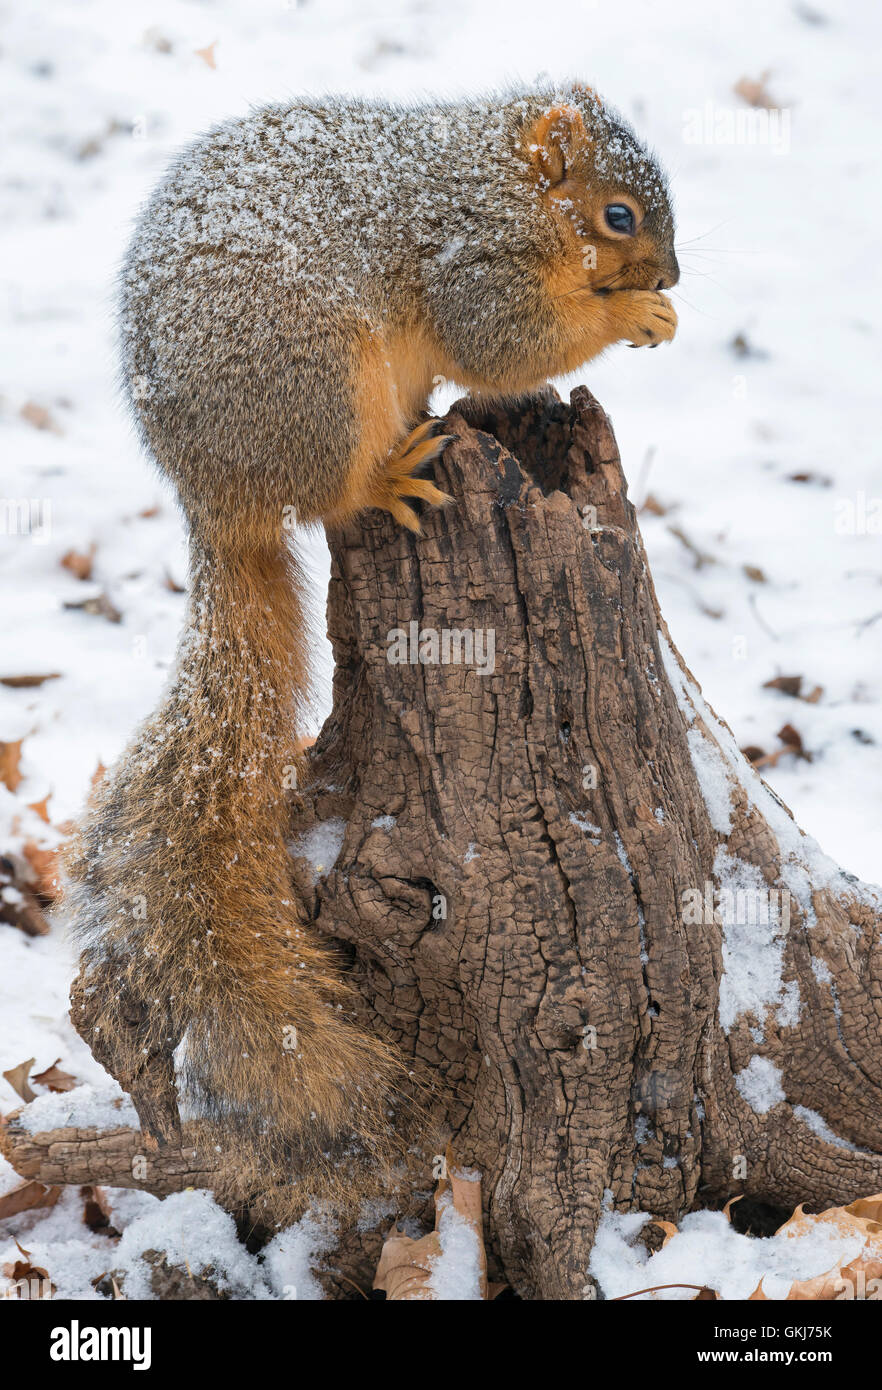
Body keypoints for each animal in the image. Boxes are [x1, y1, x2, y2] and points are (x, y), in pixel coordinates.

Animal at [65, 81, 680, 1212]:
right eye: (618, 215)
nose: (670, 275)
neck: (494, 182)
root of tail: (217, 500)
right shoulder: (473, 267)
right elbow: (507, 343)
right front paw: (632, 317)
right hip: (316, 387)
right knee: (334, 496)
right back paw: (388, 478)